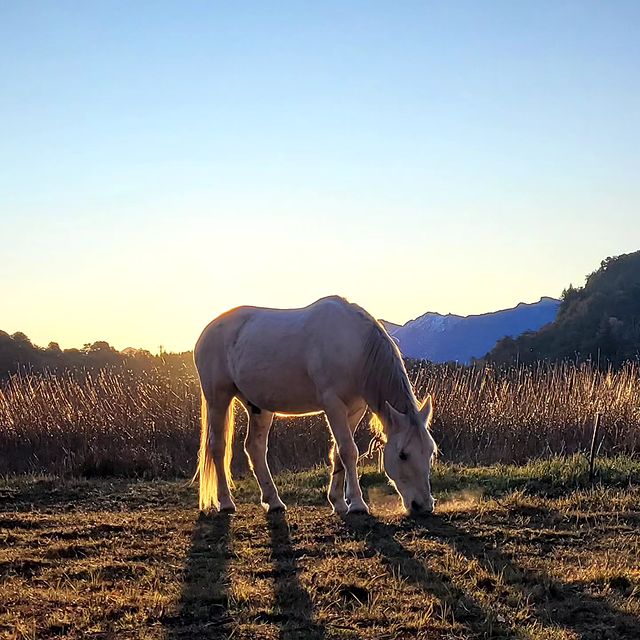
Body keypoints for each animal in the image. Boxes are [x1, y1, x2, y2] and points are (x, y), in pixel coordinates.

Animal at [192, 296, 438, 516]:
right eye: (403, 454)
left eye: (430, 452)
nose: (423, 506)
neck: (354, 346)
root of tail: (206, 333)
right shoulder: (333, 405)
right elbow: (348, 450)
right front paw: (357, 504)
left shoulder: (354, 410)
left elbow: (338, 452)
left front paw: (339, 502)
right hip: (218, 398)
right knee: (218, 446)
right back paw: (226, 503)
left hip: (258, 407)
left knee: (255, 448)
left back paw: (274, 502)